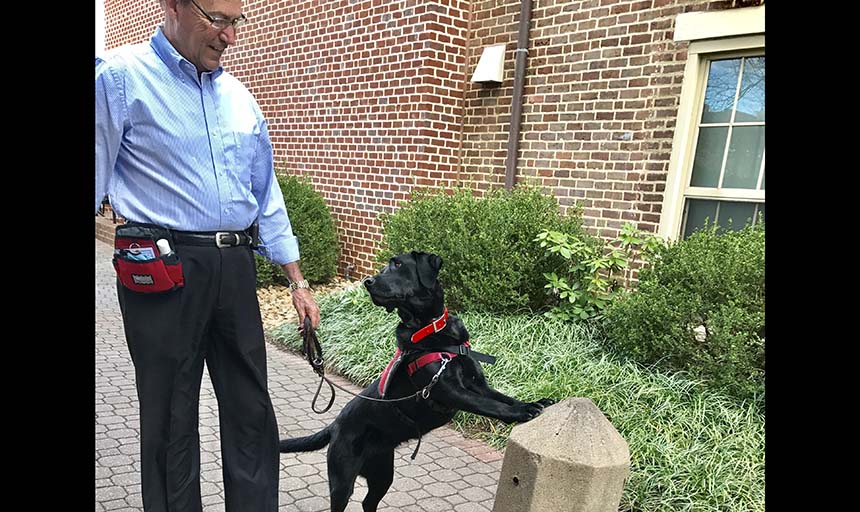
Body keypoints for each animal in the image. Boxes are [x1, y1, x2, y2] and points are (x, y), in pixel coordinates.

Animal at [278, 252, 556, 512]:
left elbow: (502, 398)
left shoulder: (478, 385)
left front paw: (533, 402)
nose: (368, 282)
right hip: (343, 478)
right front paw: (522, 412)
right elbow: (491, 406)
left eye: (398, 265)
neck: (432, 330)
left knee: (369, 501)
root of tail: (335, 425)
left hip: (382, 473)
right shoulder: (449, 390)